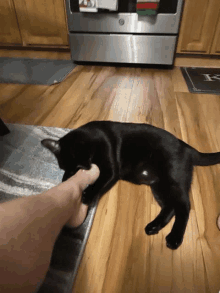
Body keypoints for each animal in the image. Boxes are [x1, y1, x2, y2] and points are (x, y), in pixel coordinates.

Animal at [41, 121, 220, 249]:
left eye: (77, 165)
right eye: (72, 168)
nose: (85, 168)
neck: (91, 136)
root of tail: (188, 148)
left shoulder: (110, 170)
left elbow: (99, 182)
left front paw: (87, 195)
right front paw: (66, 180)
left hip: (173, 180)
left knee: (184, 206)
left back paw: (174, 238)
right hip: (159, 186)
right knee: (170, 207)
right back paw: (153, 226)